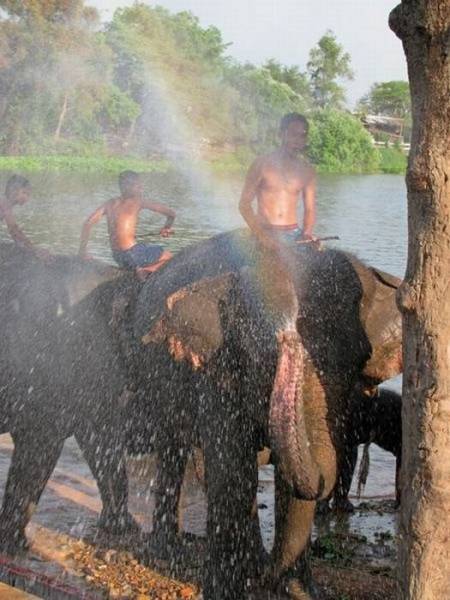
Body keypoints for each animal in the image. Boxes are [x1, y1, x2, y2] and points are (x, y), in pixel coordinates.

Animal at [131, 227, 404, 596]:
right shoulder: (216, 371)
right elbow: (232, 469)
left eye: (358, 362)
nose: (286, 324)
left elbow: (290, 485)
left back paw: (255, 561)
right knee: (174, 451)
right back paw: (169, 550)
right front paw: (228, 590)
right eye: (261, 355)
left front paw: (297, 591)